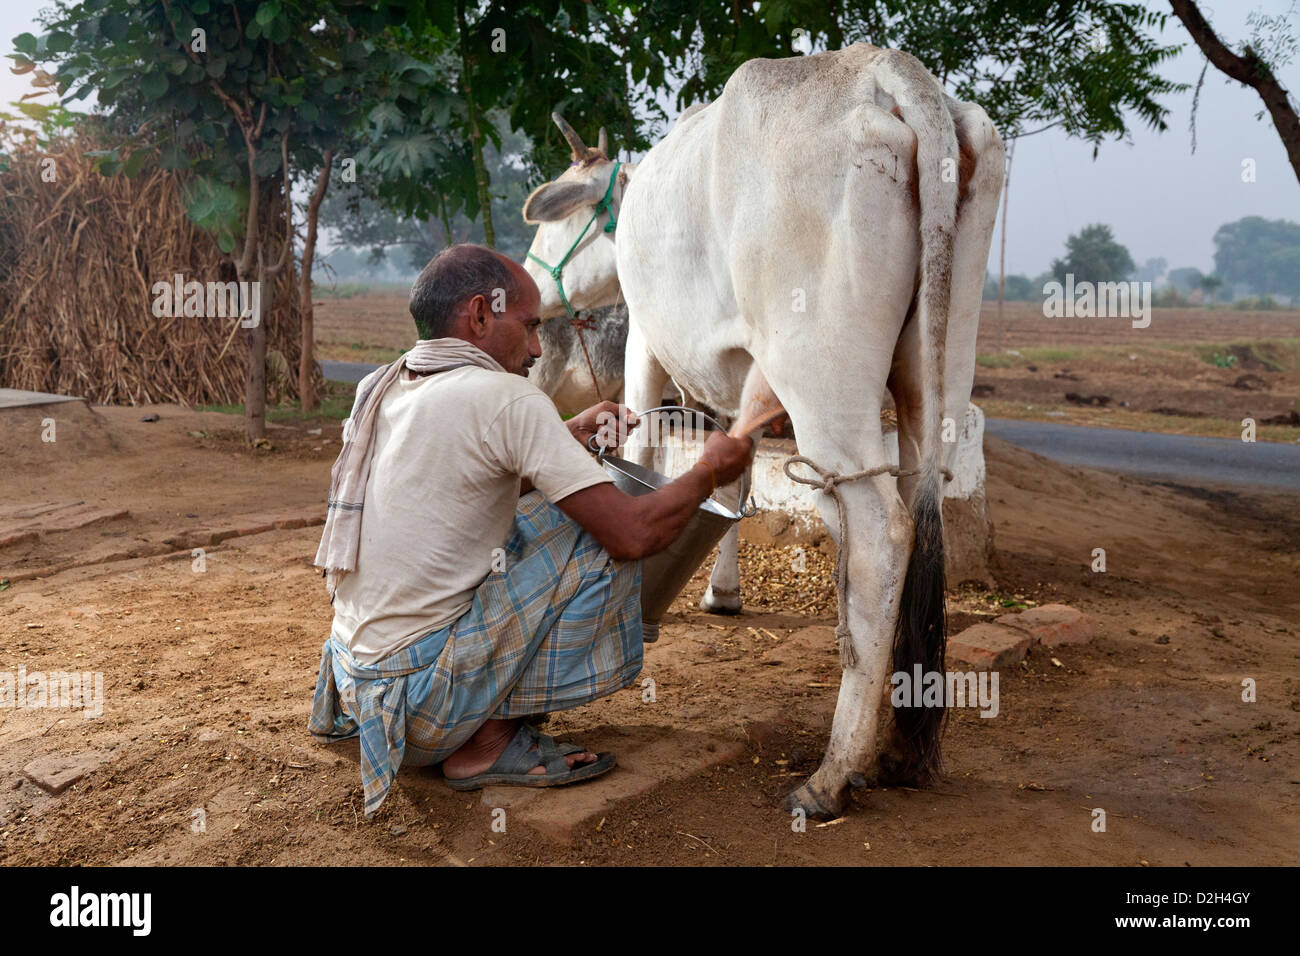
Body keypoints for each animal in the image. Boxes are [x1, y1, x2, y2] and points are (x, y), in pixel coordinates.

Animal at [521, 43, 1004, 818]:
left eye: (555, 220)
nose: (527, 287)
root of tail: (887, 72)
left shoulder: (648, 343)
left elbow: (644, 451)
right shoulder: (739, 378)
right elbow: (731, 477)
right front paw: (722, 594)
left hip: (823, 385)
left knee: (881, 533)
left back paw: (831, 774)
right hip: (937, 373)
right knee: (920, 502)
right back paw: (899, 750)